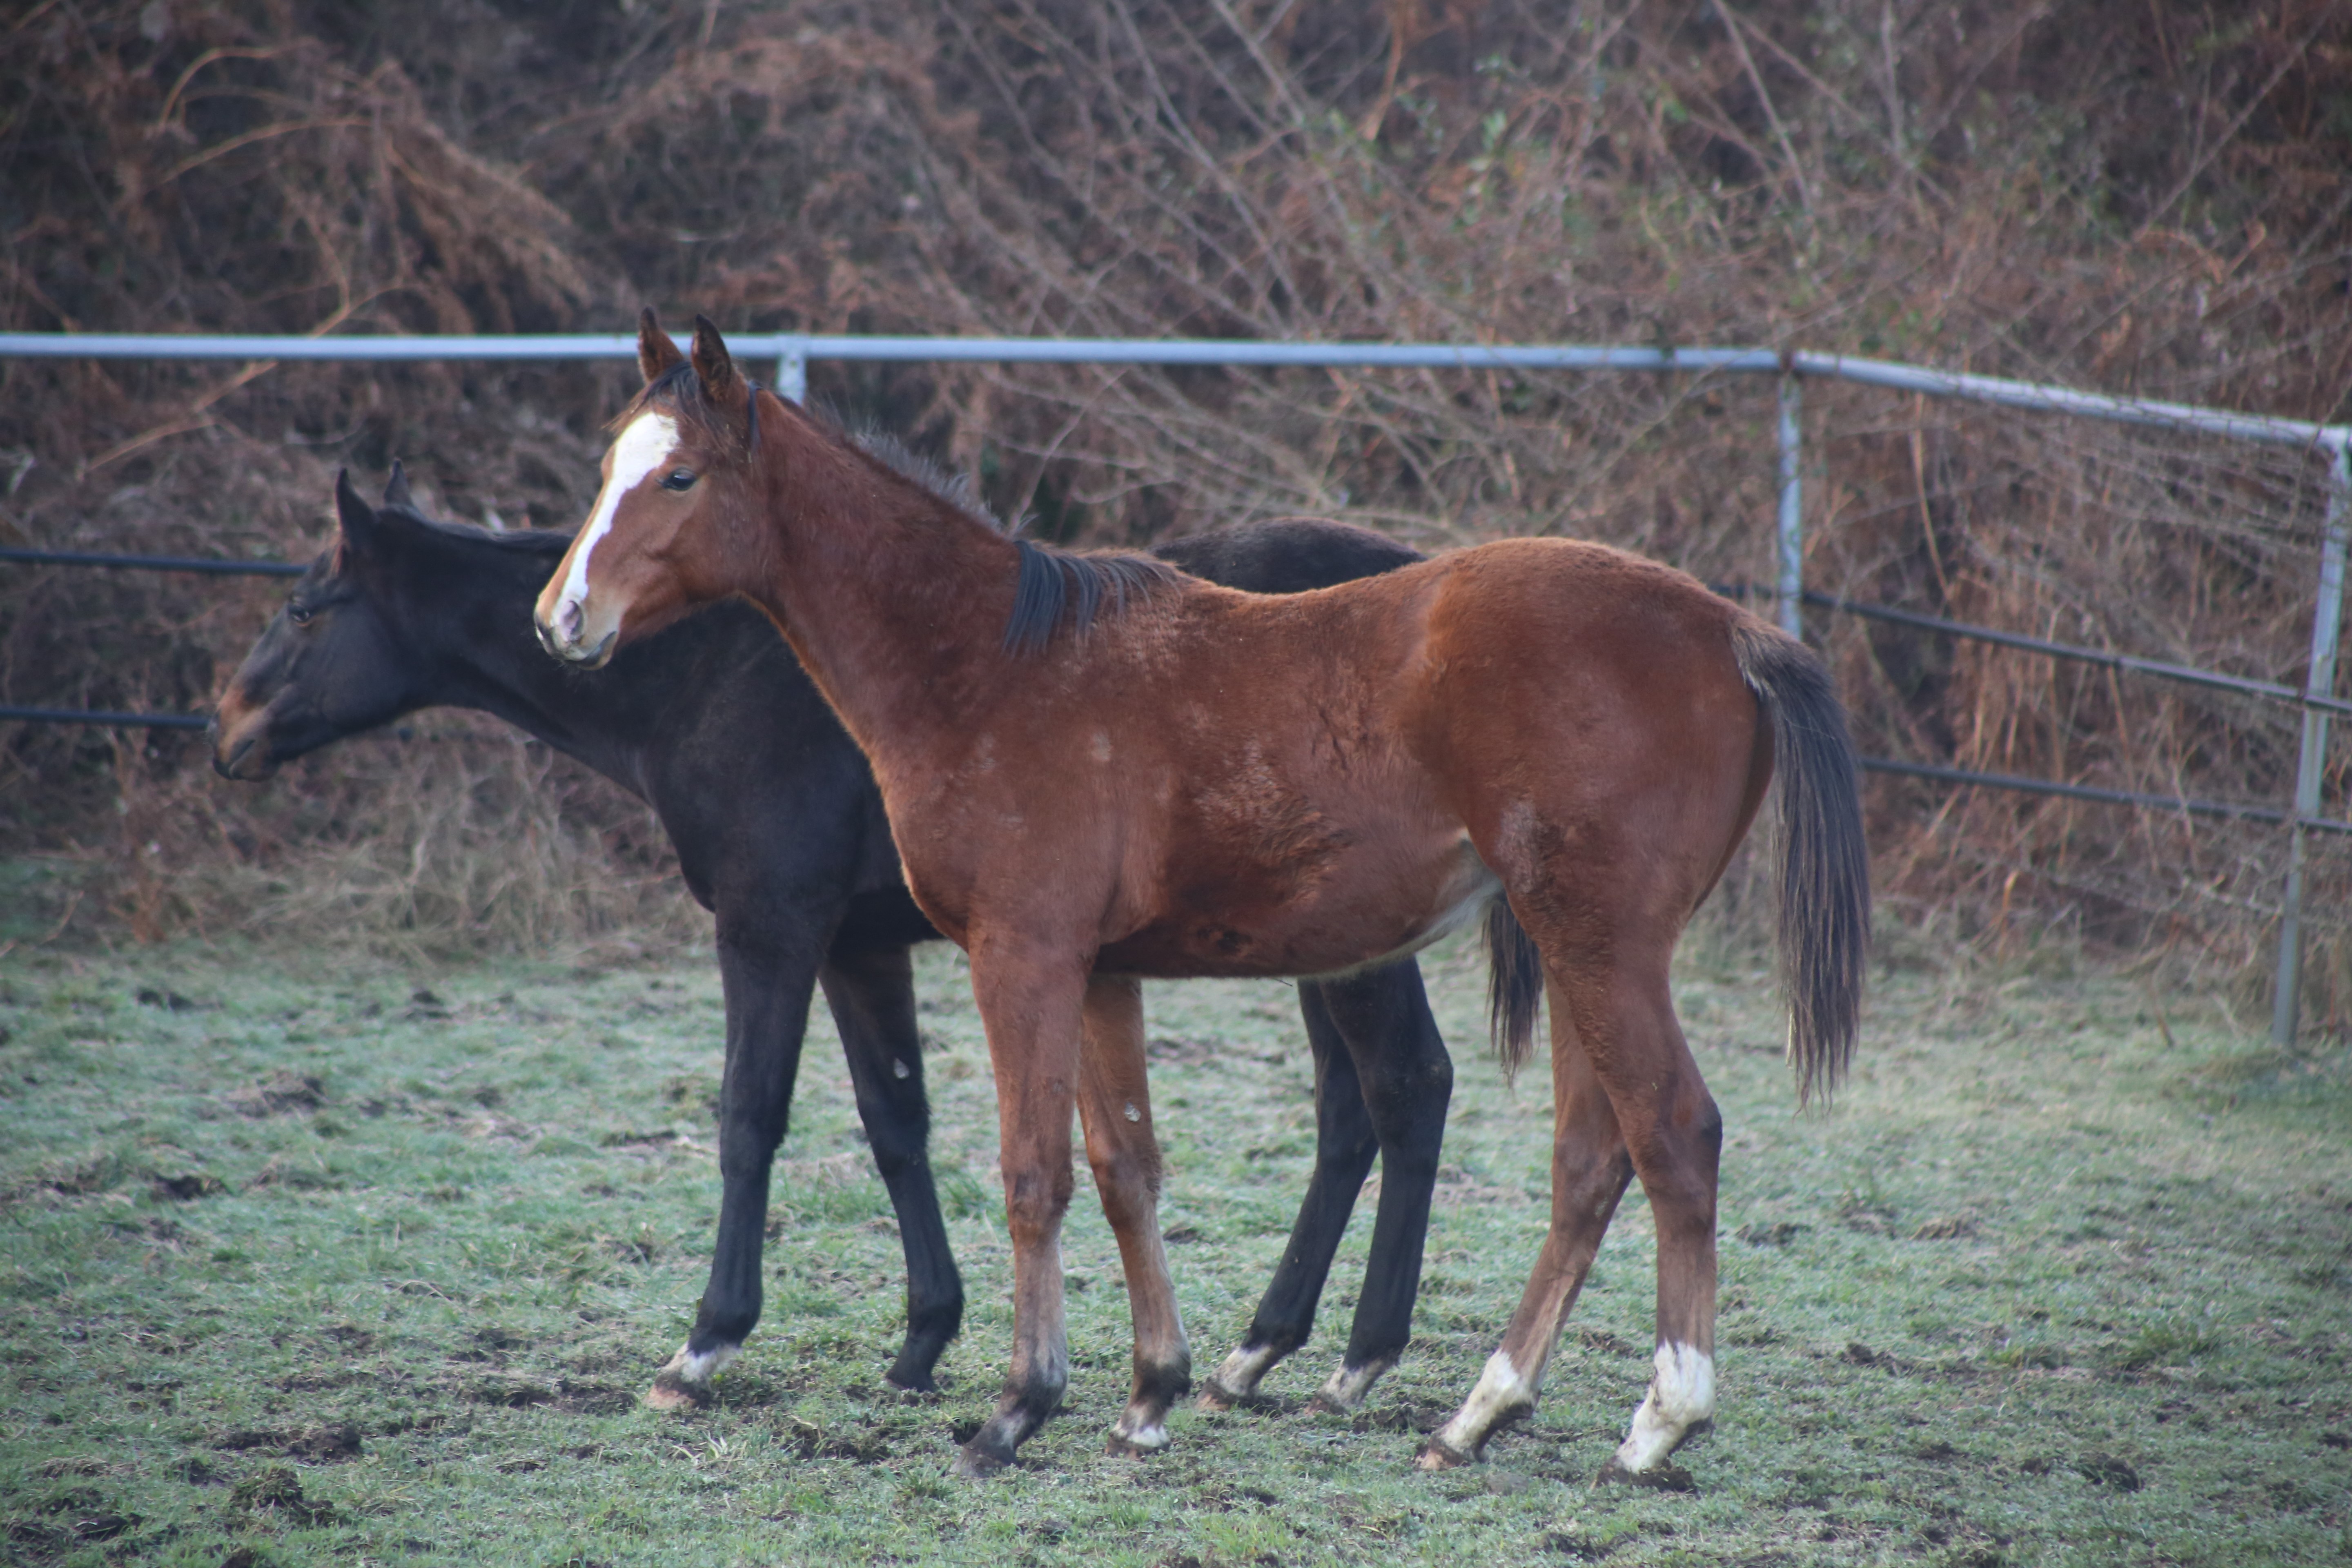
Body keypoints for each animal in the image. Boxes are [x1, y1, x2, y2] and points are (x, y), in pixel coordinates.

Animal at [216, 472, 1449, 1420]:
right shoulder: (858, 947)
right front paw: (923, 1341)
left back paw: (1354, 1359)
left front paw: (705, 1344)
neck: (720, 675)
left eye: (309, 608)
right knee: (1350, 1112)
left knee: (1405, 1086)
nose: (226, 728)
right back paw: (1257, 1351)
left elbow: (748, 1116)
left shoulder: (770, 925)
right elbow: (894, 1121)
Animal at [534, 319, 1872, 1486]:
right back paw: (1475, 1412)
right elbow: (1125, 1164)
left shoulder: (1019, 954)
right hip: (1577, 941)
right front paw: (1149, 1393)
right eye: (609, 467)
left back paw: (1657, 1420)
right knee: (1592, 1157)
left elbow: (1031, 1171)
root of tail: (1731, 627)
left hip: (1601, 944)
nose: (562, 618)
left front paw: (1015, 1408)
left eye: (680, 476)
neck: (990, 666)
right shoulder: (1100, 968)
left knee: (1672, 1134)